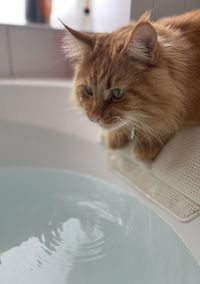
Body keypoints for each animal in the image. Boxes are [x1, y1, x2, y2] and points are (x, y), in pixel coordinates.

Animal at [61, 10, 200, 161]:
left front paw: (147, 145)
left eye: (117, 93)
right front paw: (116, 137)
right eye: (89, 91)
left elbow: (169, 122)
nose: (94, 118)